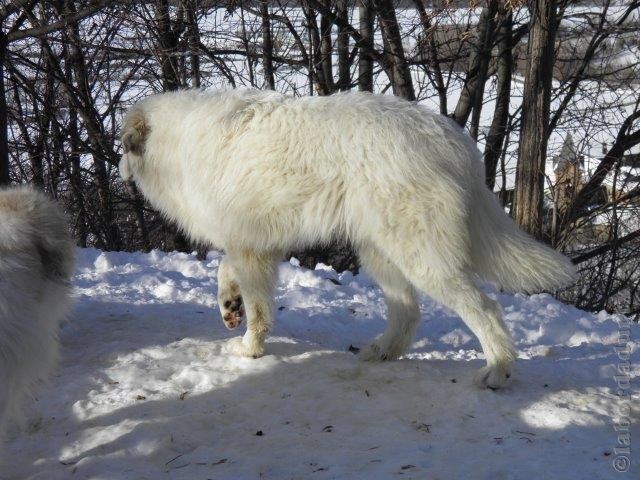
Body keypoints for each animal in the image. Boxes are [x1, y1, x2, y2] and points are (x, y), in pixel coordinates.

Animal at [119, 88, 576, 390]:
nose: (118, 167)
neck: (175, 145)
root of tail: (455, 140)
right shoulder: (254, 242)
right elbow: (227, 273)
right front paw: (230, 306)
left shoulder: (250, 246)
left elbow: (259, 309)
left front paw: (250, 347)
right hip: (381, 254)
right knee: (408, 313)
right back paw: (382, 351)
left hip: (422, 258)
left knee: (484, 308)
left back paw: (497, 369)